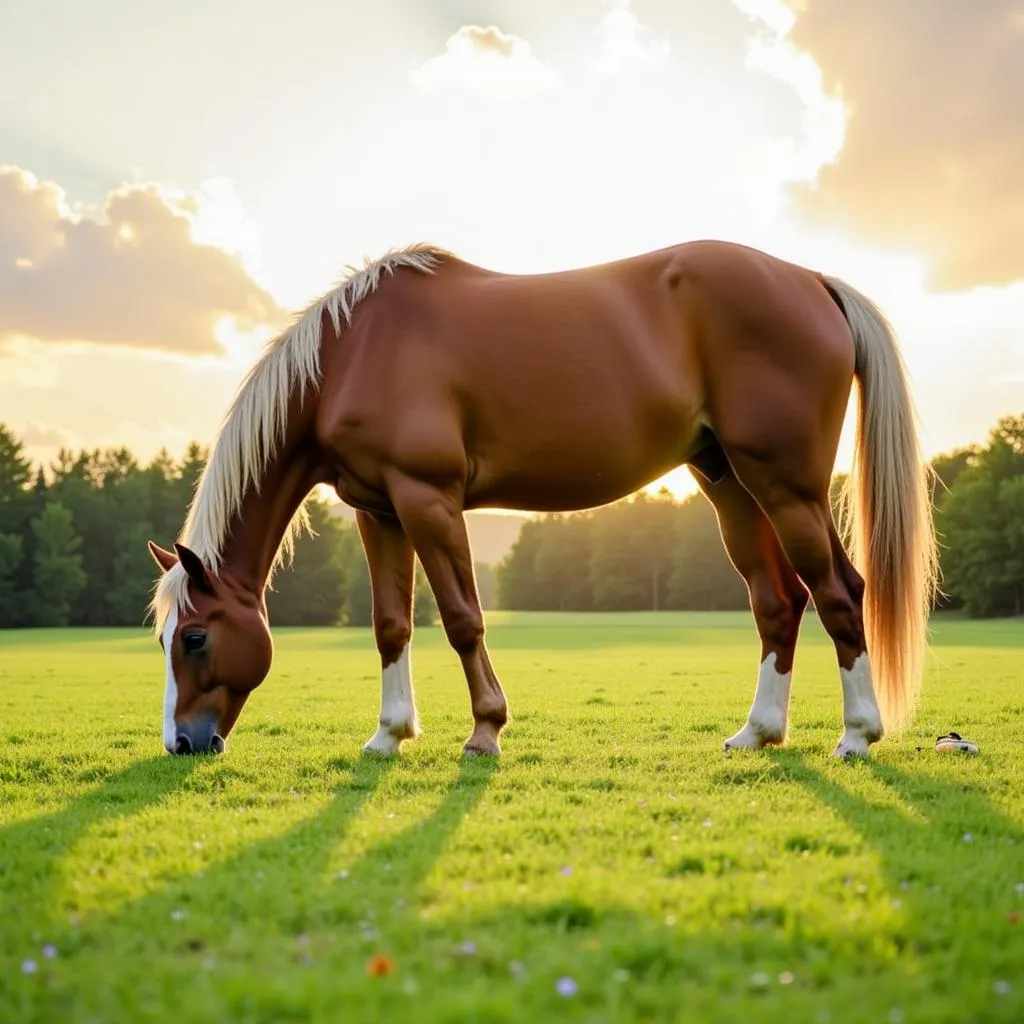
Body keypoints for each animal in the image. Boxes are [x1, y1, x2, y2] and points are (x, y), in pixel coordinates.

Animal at [144, 237, 937, 761]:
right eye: (162, 639)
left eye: (195, 636)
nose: (182, 742)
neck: (354, 352)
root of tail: (812, 279)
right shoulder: (380, 511)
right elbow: (391, 624)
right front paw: (388, 735)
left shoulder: (428, 499)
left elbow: (462, 618)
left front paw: (485, 730)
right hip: (732, 488)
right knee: (779, 603)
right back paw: (758, 733)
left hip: (787, 487)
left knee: (840, 592)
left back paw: (858, 736)